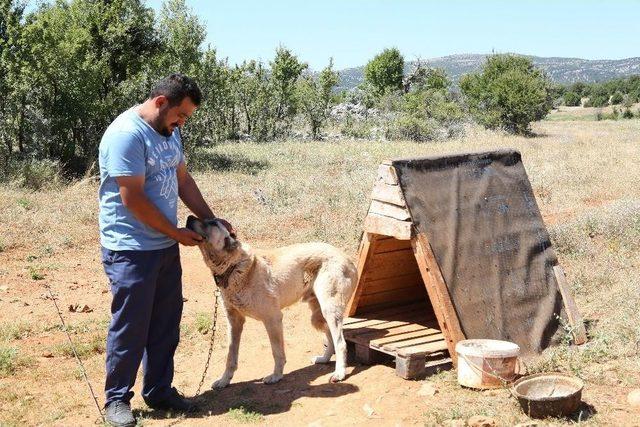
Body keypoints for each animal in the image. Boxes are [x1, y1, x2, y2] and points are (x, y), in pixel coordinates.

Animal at [188, 217, 360, 388]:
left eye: (212, 223)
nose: (189, 218)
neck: (234, 267)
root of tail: (347, 258)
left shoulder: (273, 319)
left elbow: (277, 352)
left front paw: (276, 376)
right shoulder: (234, 322)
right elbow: (230, 357)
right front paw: (224, 380)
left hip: (329, 311)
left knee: (341, 343)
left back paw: (339, 373)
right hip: (318, 316)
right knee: (331, 338)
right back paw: (324, 359)